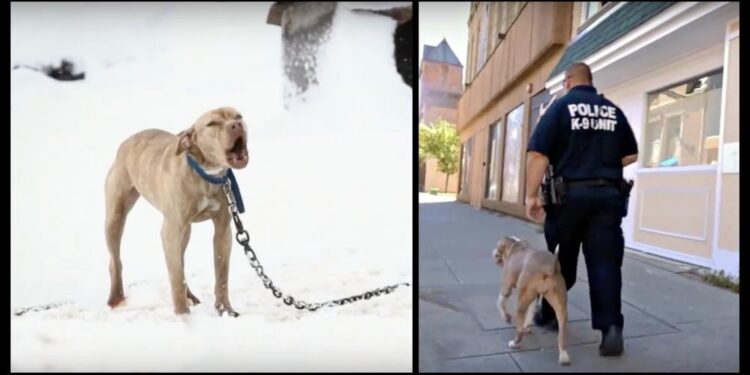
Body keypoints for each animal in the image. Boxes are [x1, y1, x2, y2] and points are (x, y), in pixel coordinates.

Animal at [104, 106, 250, 318]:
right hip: (115, 218)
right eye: (212, 124)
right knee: (115, 261)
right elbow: (175, 276)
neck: (205, 174)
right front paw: (182, 315)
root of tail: (128, 141)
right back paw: (116, 298)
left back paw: (190, 295)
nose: (236, 125)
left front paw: (225, 310)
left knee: (180, 261)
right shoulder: (170, 231)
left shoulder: (223, 230)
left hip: (184, 231)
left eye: (238, 116)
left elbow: (221, 275)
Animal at [494, 236, 568, 366]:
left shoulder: (506, 287)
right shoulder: (533, 297)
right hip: (560, 304)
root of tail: (550, 266)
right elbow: (530, 312)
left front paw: (506, 317)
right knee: (561, 334)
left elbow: (500, 302)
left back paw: (514, 344)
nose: (493, 251)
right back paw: (564, 356)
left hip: (520, 302)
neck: (515, 246)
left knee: (519, 330)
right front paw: (527, 326)